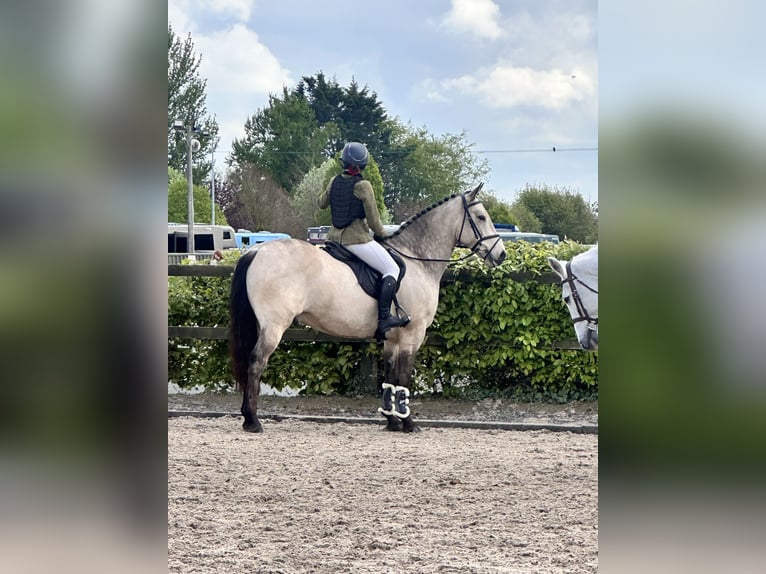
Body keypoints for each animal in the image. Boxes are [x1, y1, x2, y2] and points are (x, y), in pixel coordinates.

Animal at [228, 184, 507, 433]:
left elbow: (390, 378)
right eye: (481, 217)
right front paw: (408, 423)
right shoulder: (413, 334)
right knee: (256, 362)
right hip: (274, 326)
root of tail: (256, 250)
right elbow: (404, 378)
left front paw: (392, 421)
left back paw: (247, 417)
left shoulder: (392, 339)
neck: (418, 260)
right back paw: (253, 421)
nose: (502, 255)